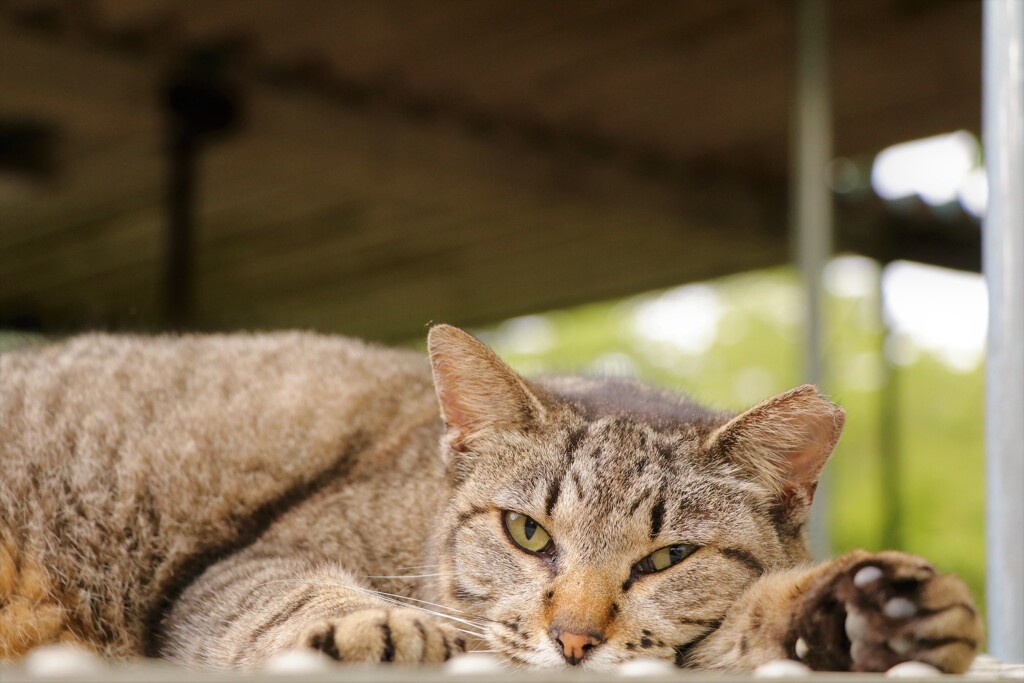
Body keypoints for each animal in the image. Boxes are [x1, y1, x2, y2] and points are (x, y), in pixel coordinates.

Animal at [0, 327, 983, 671]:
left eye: (668, 557)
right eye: (526, 532)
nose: (576, 639)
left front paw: (861, 614)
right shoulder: (245, 567)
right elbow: (289, 592)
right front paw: (370, 623)